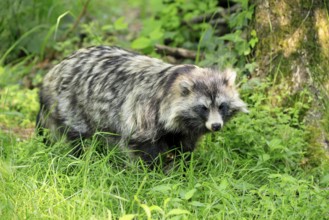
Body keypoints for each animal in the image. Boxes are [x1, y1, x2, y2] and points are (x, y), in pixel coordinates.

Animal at [37, 46, 247, 166]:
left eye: (221, 106)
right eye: (203, 107)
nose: (216, 126)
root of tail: (53, 71)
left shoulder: (184, 130)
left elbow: (185, 148)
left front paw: (184, 167)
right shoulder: (144, 112)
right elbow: (141, 147)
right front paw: (156, 171)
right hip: (70, 102)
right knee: (77, 134)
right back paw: (78, 154)